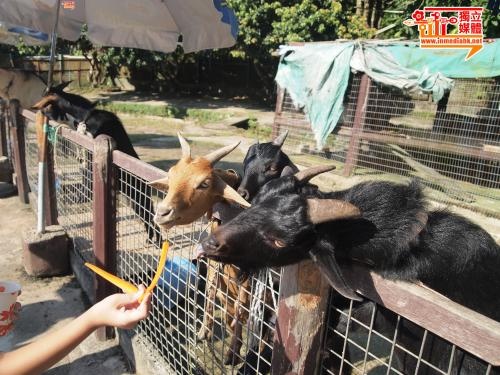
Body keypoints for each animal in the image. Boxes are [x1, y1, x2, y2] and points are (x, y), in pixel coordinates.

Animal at [32, 84, 160, 244]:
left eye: (46, 104)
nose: (36, 109)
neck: (83, 116)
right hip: (132, 199)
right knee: (147, 219)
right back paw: (150, 239)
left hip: (139, 197)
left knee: (152, 219)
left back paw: (158, 242)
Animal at [147, 134, 250, 366]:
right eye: (171, 174)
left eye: (204, 183)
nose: (162, 213)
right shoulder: (213, 260)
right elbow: (212, 289)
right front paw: (204, 332)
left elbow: (242, 308)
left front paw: (233, 352)